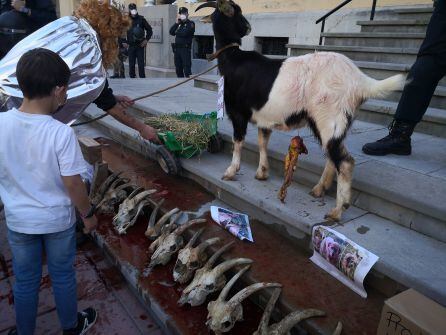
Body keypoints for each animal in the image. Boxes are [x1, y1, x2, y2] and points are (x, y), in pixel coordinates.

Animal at [195, 0, 404, 223]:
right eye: (236, 12)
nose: (248, 27)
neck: (233, 58)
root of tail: (359, 81)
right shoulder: (264, 118)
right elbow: (262, 142)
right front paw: (262, 173)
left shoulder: (238, 113)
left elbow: (238, 142)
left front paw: (230, 171)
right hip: (334, 122)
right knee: (333, 155)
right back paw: (319, 189)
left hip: (328, 117)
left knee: (345, 162)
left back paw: (337, 211)